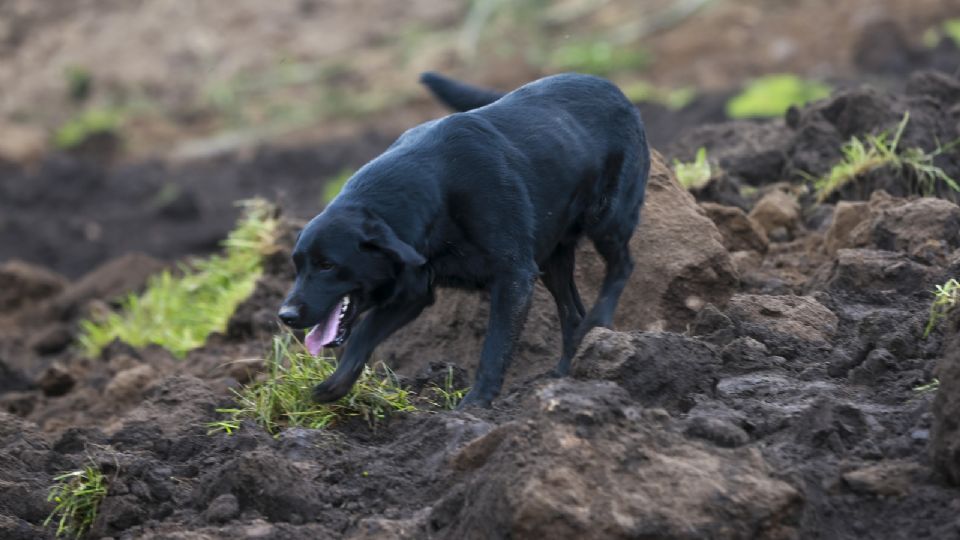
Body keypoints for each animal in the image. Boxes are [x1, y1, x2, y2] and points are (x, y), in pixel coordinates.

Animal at [280, 74, 652, 408]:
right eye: (296, 265)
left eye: (328, 265)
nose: (285, 316)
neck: (437, 189)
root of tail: (611, 87)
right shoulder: (413, 293)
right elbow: (361, 336)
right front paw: (332, 387)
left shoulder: (514, 278)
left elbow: (495, 347)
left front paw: (475, 405)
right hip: (552, 259)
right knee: (572, 314)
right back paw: (565, 373)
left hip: (608, 218)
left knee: (623, 265)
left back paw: (599, 322)